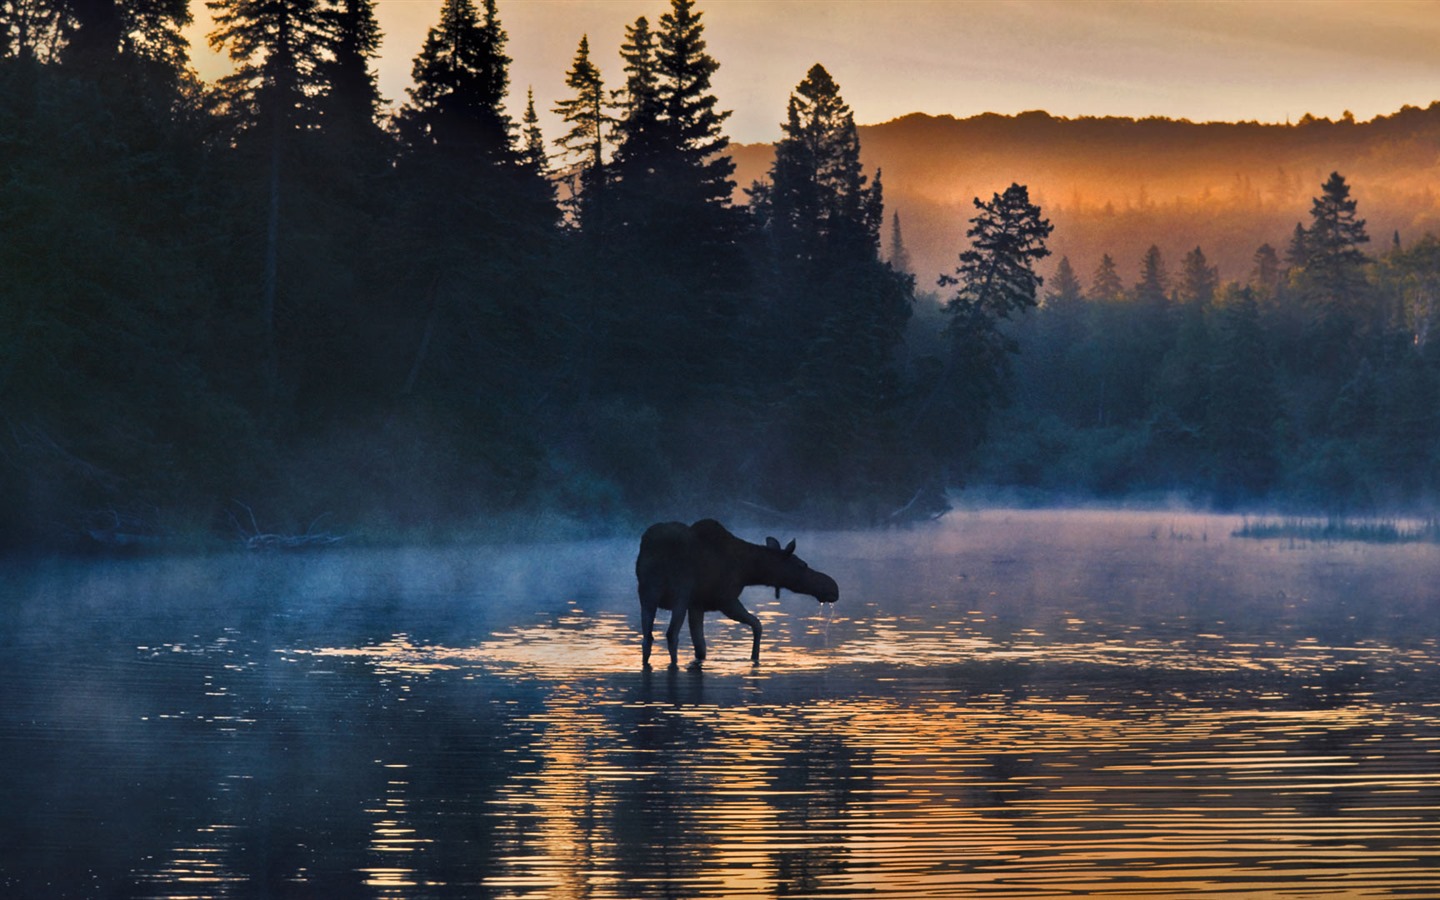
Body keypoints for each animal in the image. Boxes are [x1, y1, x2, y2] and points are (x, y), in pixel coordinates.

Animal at [633, 518, 840, 668]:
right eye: (802, 565)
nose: (833, 587)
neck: (748, 570)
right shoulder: (725, 600)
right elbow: (758, 624)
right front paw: (754, 657)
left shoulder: (697, 605)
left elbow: (701, 647)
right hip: (679, 594)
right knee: (670, 635)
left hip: (647, 594)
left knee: (647, 638)